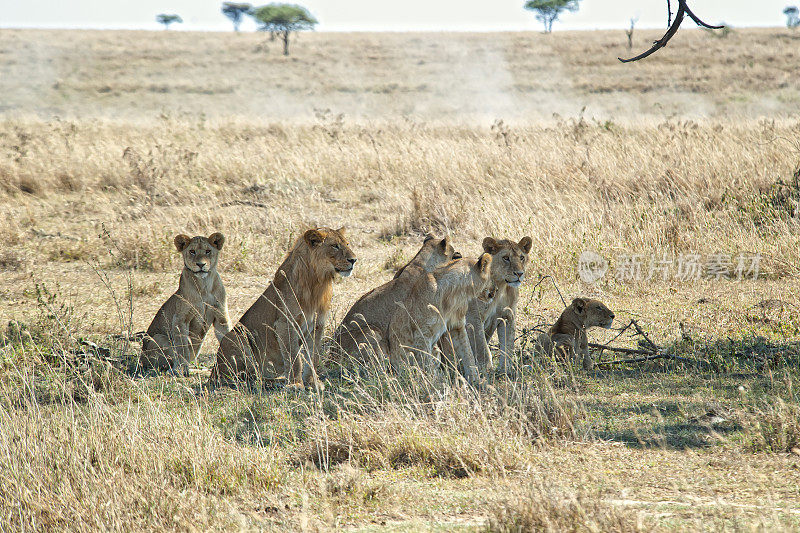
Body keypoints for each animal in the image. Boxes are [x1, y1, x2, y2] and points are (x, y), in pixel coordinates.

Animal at [141, 233, 231, 374]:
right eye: (192, 251)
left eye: (208, 251)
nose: (201, 264)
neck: (204, 286)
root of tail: (140, 360)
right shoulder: (180, 318)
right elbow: (182, 346)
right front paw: (181, 369)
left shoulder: (221, 316)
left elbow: (227, 335)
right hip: (157, 339)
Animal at [211, 227, 354, 388]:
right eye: (335, 246)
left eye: (347, 244)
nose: (354, 260)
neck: (317, 281)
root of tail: (212, 373)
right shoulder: (285, 323)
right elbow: (294, 357)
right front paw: (296, 384)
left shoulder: (318, 325)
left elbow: (313, 357)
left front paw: (312, 382)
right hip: (235, 336)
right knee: (244, 377)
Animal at [388, 254, 494, 386]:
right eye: (491, 277)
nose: (494, 291)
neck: (457, 293)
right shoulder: (422, 334)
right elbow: (426, 362)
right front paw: (433, 385)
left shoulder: (457, 326)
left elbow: (467, 353)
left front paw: (475, 381)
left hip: (436, 350)